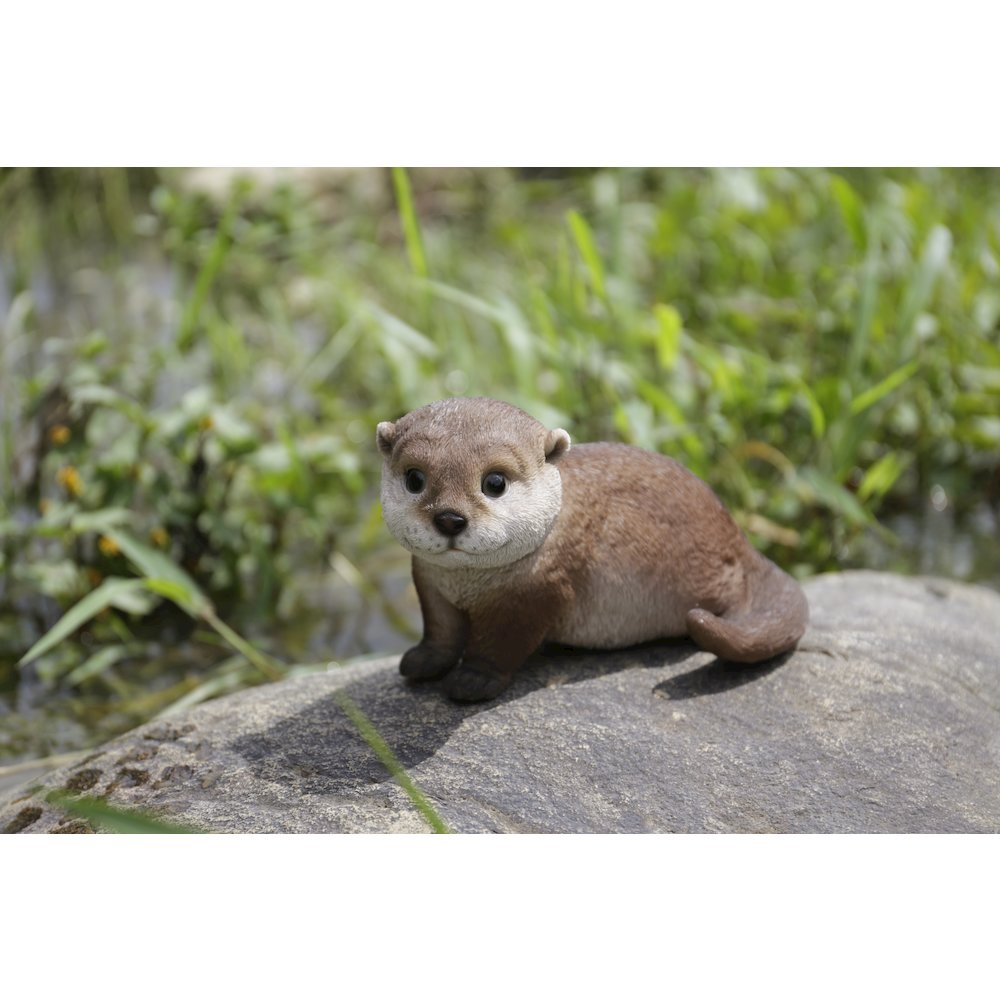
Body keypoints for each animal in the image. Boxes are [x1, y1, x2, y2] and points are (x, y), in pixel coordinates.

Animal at [377, 397, 809, 702]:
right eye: (415, 479)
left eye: (494, 482)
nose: (450, 519)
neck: (467, 584)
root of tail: (738, 539)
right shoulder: (429, 582)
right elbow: (440, 631)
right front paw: (423, 661)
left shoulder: (535, 593)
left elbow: (500, 645)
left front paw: (472, 679)